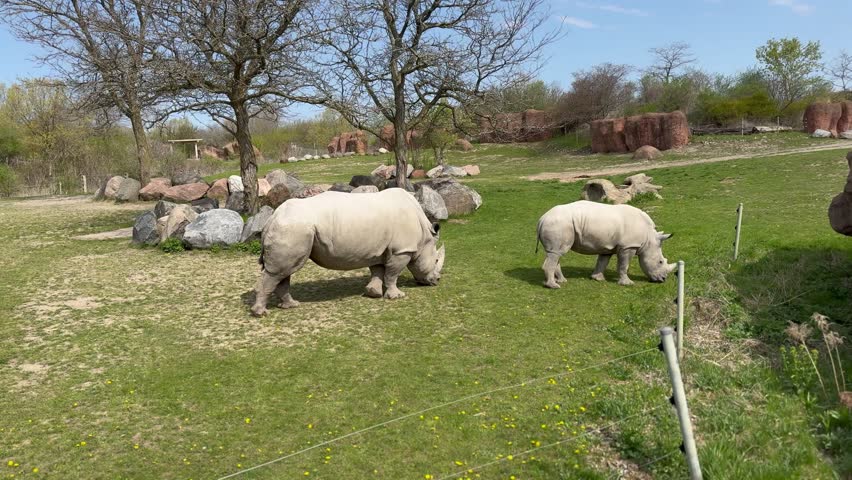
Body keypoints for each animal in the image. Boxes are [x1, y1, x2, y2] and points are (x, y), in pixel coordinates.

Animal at [251, 189, 445, 316]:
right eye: (436, 261)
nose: (437, 280)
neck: (425, 236)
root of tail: (271, 219)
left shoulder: (378, 249)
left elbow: (378, 271)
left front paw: (373, 293)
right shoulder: (402, 250)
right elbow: (392, 274)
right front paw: (397, 296)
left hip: (291, 229)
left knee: (285, 271)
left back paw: (291, 305)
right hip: (293, 229)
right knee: (279, 272)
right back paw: (261, 313)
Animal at [536, 200, 675, 288]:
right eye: (660, 262)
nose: (663, 280)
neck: (648, 238)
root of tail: (542, 218)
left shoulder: (607, 246)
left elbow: (602, 262)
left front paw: (598, 278)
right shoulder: (628, 246)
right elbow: (624, 265)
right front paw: (627, 284)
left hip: (558, 224)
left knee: (556, 253)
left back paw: (562, 281)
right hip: (558, 224)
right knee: (556, 253)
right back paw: (554, 286)